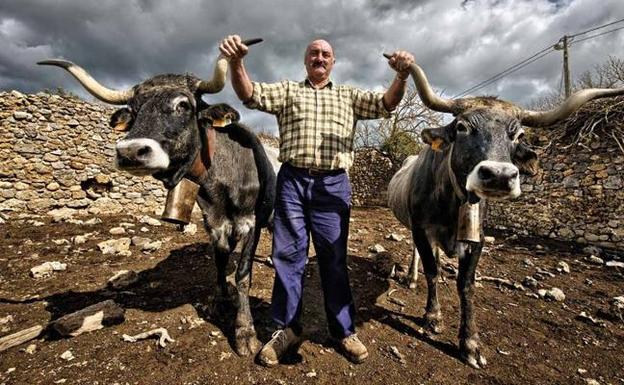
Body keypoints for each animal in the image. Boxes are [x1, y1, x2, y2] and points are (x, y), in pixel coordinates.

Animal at [41, 46, 278, 356]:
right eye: (133, 111)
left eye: (184, 105)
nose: (130, 151)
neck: (222, 180)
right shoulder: (214, 224)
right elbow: (219, 263)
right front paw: (218, 301)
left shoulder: (251, 223)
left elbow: (242, 274)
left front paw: (244, 332)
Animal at [386, 58, 624, 368]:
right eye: (461, 127)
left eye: (518, 134)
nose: (499, 175)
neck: (452, 201)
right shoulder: (421, 229)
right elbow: (432, 271)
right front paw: (432, 316)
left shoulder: (476, 239)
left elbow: (466, 284)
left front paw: (470, 343)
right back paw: (411, 277)